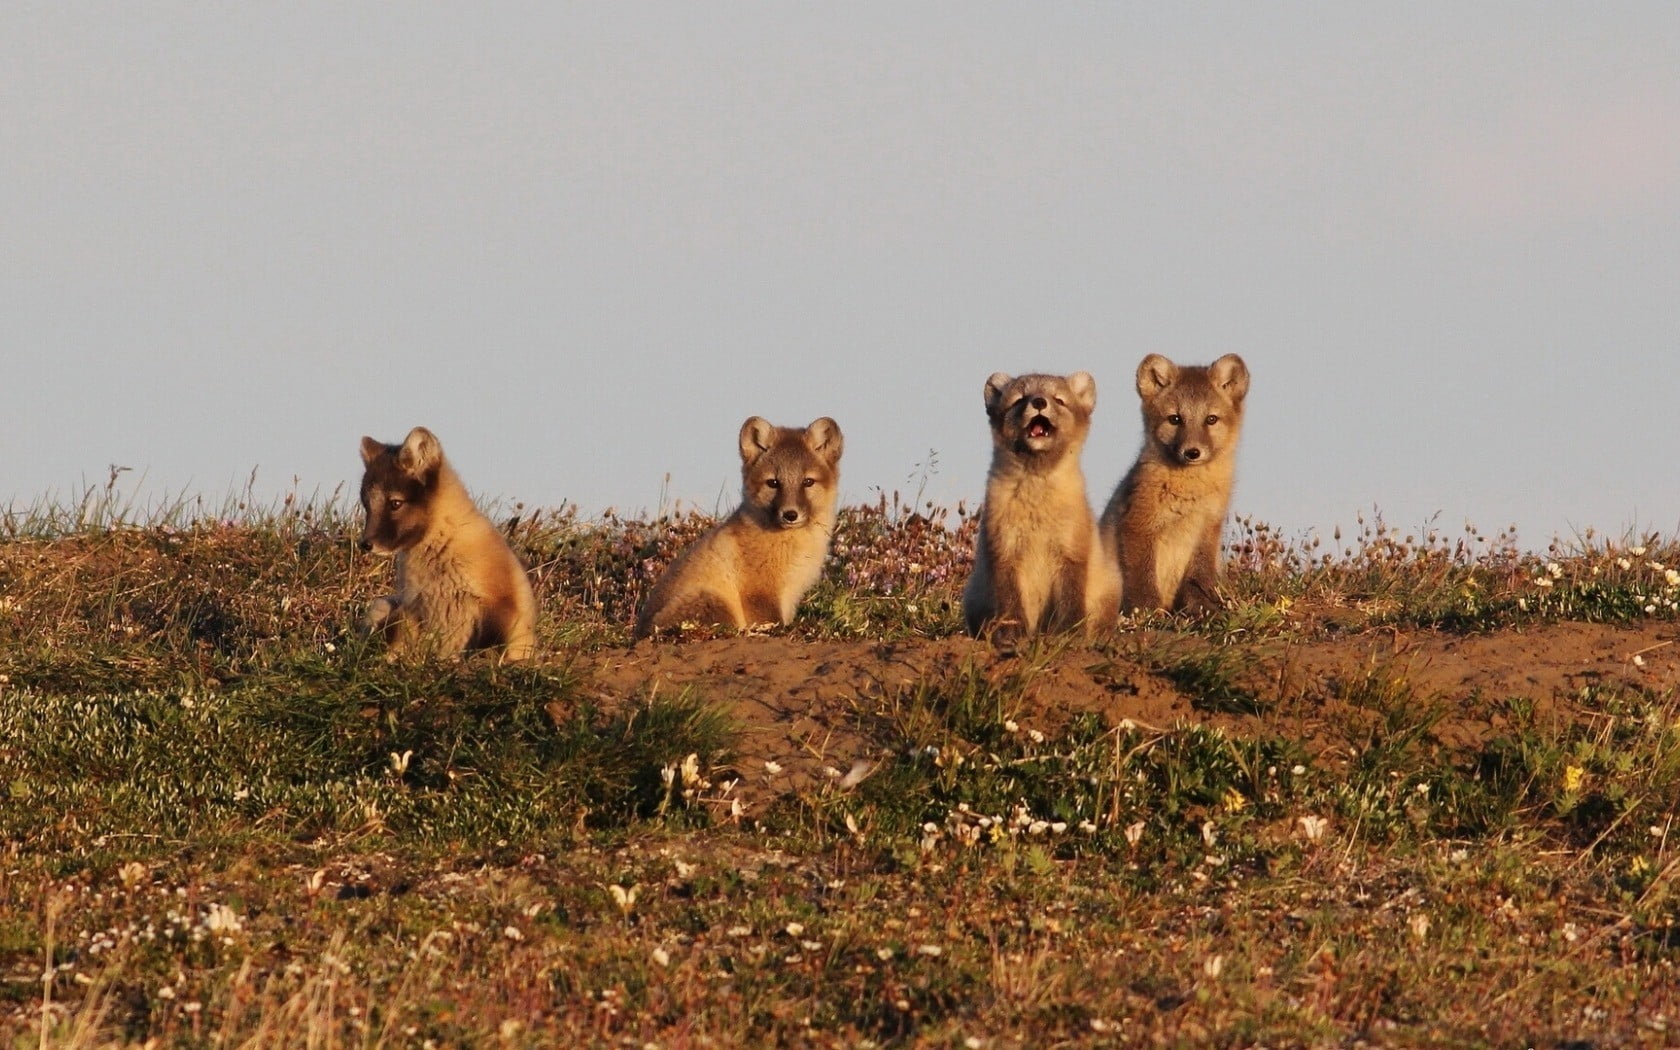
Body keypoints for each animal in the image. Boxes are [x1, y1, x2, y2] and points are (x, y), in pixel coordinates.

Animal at [358, 426, 538, 661]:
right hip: (383, 604)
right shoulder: (413, 607)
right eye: (366, 505)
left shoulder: (500, 604)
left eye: (395, 503)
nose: (365, 544)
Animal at [634, 416, 843, 640]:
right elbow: (774, 622)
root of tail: (639, 634)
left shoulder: (790, 597)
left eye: (808, 482)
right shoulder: (760, 593)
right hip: (714, 602)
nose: (790, 514)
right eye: (773, 483)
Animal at [962, 371, 1120, 647]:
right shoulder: (1004, 548)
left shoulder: (1071, 549)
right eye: (1019, 399)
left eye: (1058, 399)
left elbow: (1071, 600)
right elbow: (1011, 600)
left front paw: (1068, 634)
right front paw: (1012, 634)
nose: (1038, 402)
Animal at [1099, 353, 1250, 613]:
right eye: (1175, 419)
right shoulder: (1137, 524)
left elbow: (1199, 578)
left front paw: (1203, 607)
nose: (1192, 452)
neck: (1191, 495)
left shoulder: (1208, 528)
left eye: (1211, 419)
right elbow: (1142, 577)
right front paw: (1148, 610)